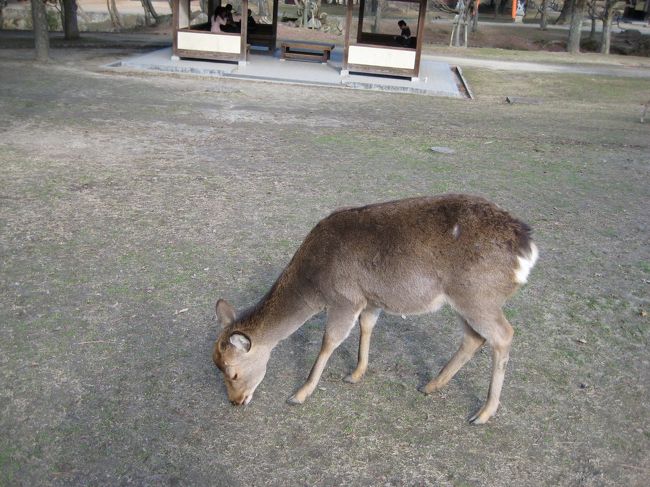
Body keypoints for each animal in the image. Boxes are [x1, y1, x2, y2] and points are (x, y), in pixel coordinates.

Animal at [213, 194, 539, 424]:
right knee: (474, 338)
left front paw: (299, 394)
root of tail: (527, 248)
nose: (235, 401)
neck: (315, 282)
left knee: (503, 335)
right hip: (464, 301)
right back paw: (430, 385)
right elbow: (366, 327)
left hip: (478, 296)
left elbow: (329, 341)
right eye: (217, 365)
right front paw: (356, 374)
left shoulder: (345, 299)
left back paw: (483, 413)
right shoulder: (370, 300)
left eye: (233, 373)